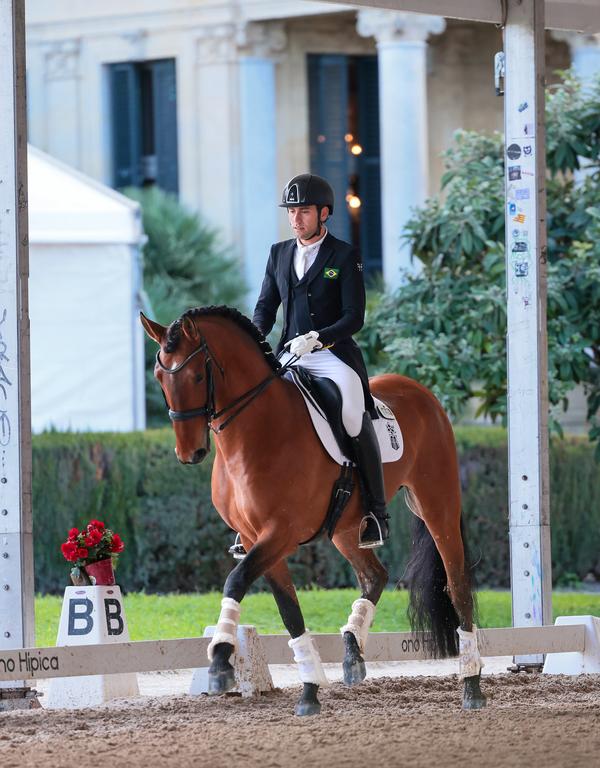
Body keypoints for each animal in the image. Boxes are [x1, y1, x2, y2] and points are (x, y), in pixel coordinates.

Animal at [142, 306, 488, 712]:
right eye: (159, 377)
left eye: (197, 375)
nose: (189, 452)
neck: (256, 432)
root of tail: (421, 392)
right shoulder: (256, 538)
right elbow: (289, 611)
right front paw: (309, 689)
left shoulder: (281, 534)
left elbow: (236, 580)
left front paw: (220, 662)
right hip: (347, 528)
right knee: (375, 575)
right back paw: (353, 654)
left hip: (437, 506)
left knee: (457, 583)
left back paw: (471, 685)